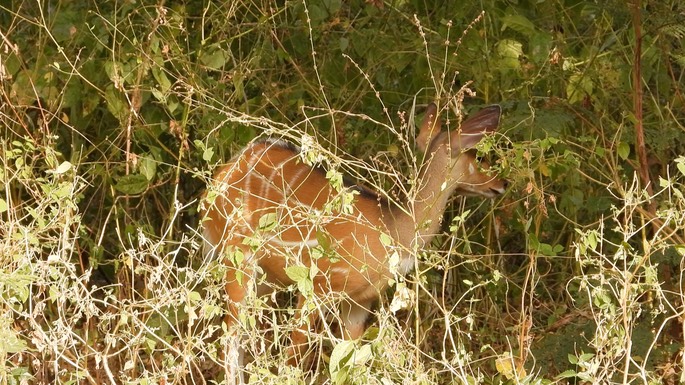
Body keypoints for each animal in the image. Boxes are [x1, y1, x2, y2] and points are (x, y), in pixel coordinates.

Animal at [200, 103, 504, 380]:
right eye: (477, 156)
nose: (500, 185)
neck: (394, 229)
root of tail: (219, 178)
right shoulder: (317, 287)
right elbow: (293, 357)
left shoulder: (360, 302)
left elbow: (348, 364)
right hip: (238, 259)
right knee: (230, 336)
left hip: (265, 278)